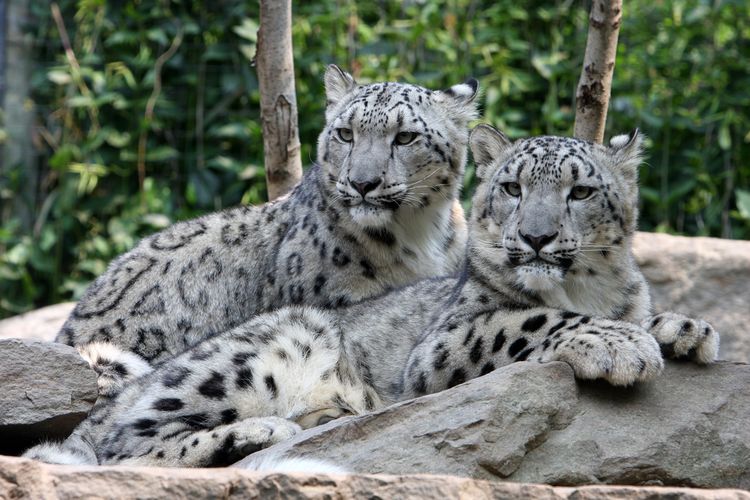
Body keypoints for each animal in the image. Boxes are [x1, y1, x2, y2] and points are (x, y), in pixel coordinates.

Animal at [25, 125, 719, 468]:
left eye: (580, 191)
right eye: (513, 187)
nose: (537, 237)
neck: (585, 286)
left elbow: (644, 312)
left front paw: (686, 330)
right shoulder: (446, 341)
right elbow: (530, 319)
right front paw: (618, 345)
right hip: (264, 345)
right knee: (122, 445)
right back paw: (260, 431)